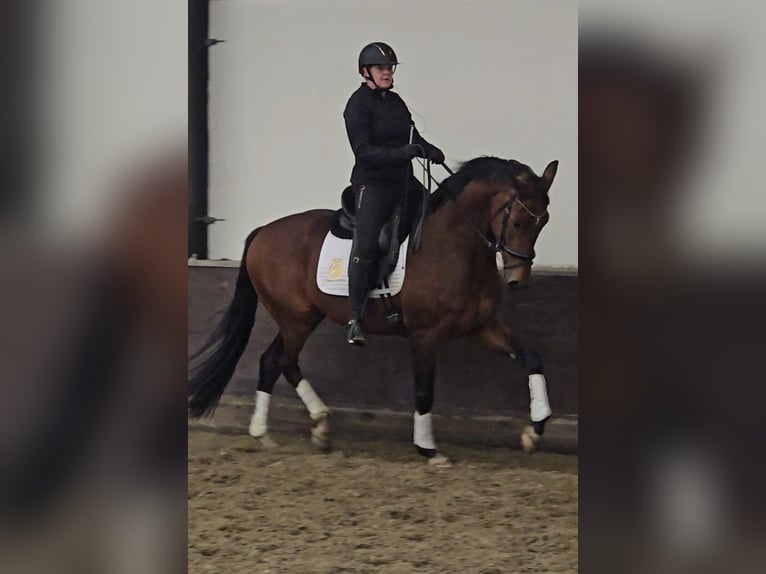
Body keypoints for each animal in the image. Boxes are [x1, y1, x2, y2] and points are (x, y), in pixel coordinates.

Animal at [189, 156, 559, 465]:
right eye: (519, 221)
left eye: (544, 222)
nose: (518, 280)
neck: (454, 245)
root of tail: (262, 231)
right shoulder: (425, 336)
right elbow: (424, 390)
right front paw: (428, 449)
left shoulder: (482, 327)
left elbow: (532, 357)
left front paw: (534, 430)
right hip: (295, 319)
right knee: (278, 361)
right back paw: (272, 430)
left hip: (303, 318)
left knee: (278, 362)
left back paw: (308, 428)